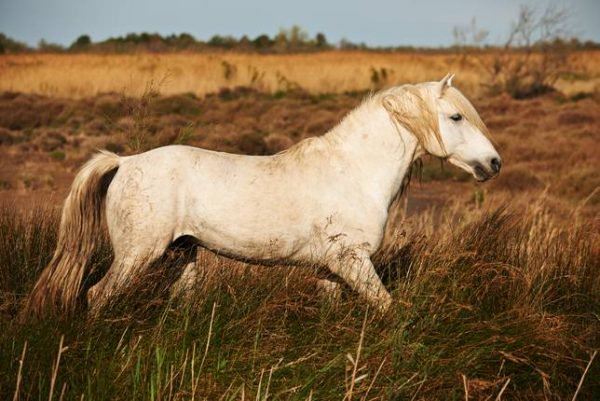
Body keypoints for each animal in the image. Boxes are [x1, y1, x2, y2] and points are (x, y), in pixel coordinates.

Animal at [25, 73, 500, 314]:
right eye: (456, 116)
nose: (493, 164)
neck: (354, 172)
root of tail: (124, 162)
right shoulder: (352, 261)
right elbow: (388, 307)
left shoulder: (331, 270)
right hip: (137, 254)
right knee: (96, 296)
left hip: (183, 254)